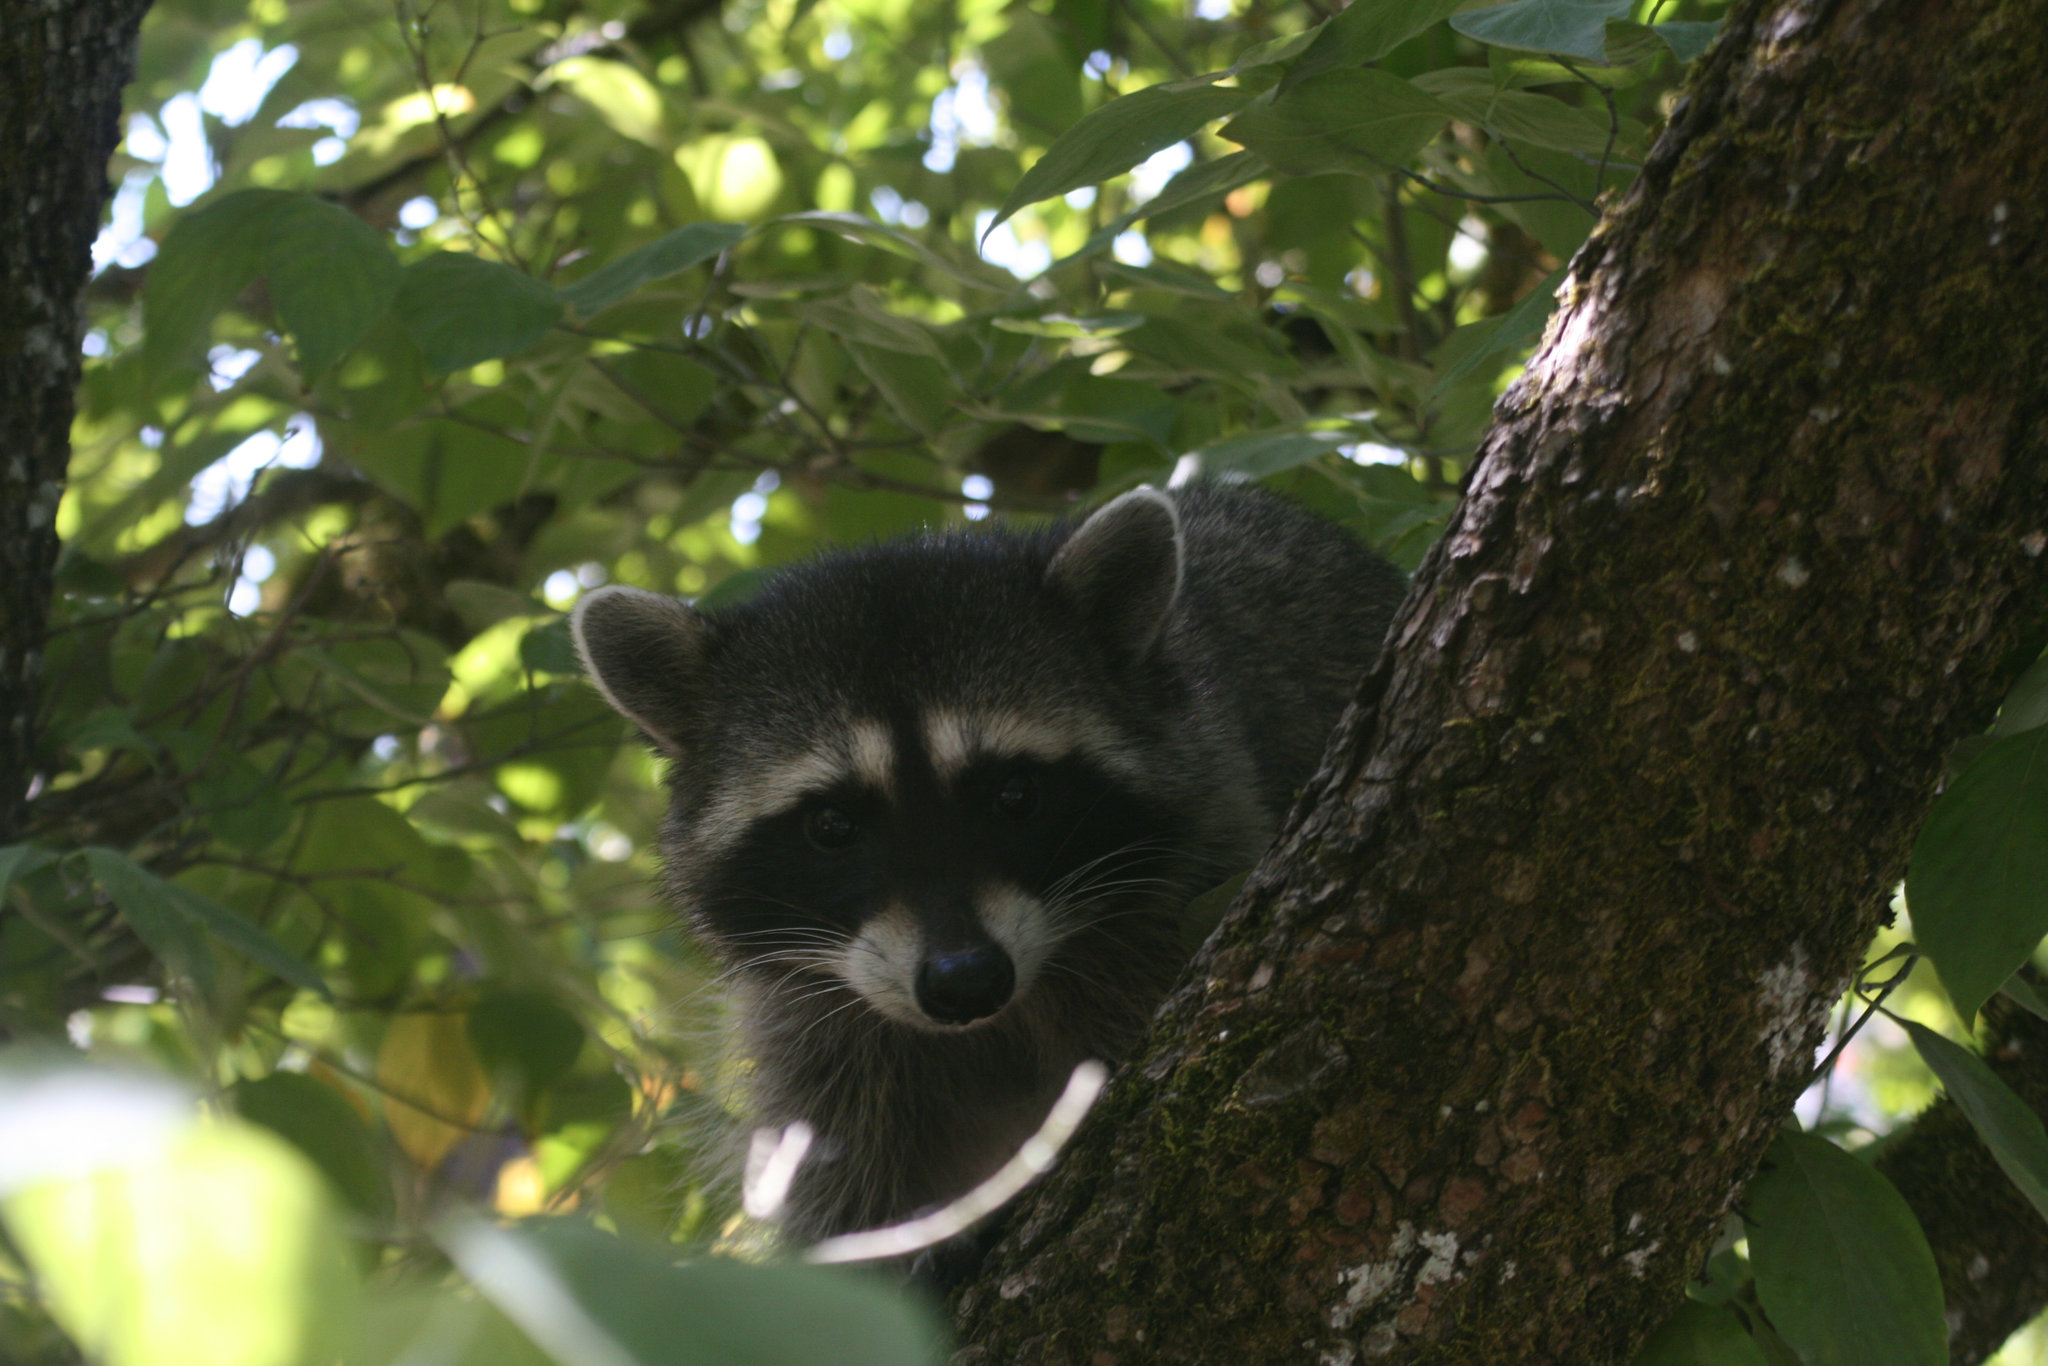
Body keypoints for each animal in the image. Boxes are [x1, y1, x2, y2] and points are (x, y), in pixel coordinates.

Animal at [573, 485, 1409, 1245]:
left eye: (1016, 794)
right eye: (832, 825)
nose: (965, 981)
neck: (1001, 1022)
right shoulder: (813, 1031)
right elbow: (845, 1186)